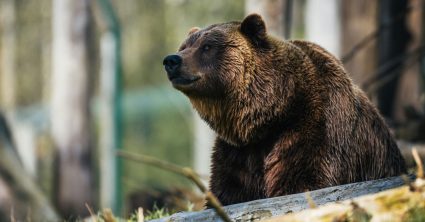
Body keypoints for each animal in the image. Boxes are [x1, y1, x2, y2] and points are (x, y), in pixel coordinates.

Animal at [161, 13, 404, 205]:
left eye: (207, 47)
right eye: (184, 46)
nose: (172, 60)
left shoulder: (315, 127)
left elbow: (303, 180)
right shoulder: (238, 152)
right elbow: (228, 190)